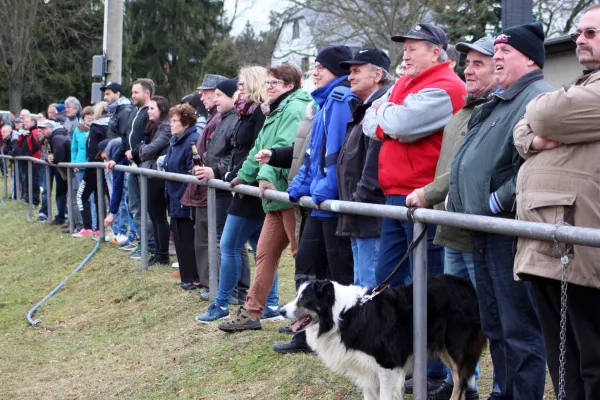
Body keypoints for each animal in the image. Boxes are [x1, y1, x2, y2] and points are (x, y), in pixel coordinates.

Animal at [282, 276, 488, 400]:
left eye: (304, 299)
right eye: (297, 295)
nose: (281, 311)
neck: (344, 315)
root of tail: (467, 284)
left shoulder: (387, 365)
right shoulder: (366, 369)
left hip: (456, 347)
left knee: (461, 382)